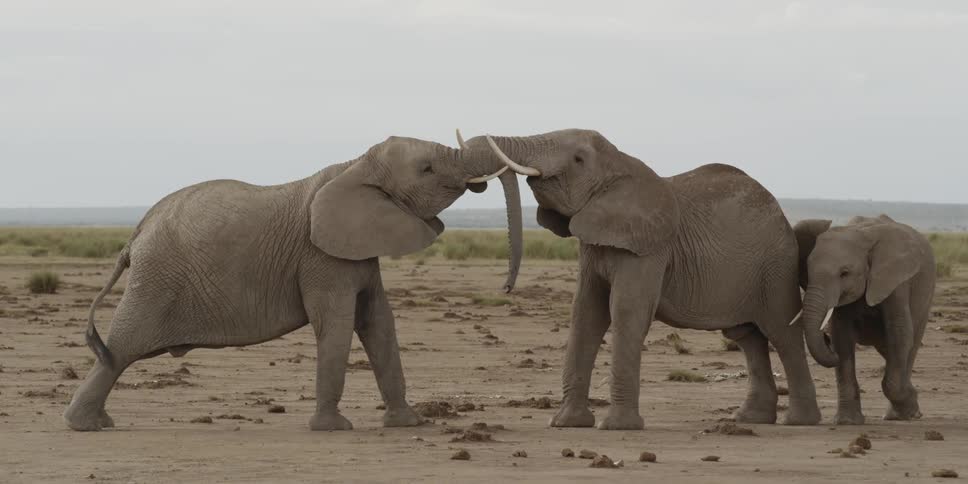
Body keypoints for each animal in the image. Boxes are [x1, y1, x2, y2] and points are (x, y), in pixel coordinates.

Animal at [64, 135, 522, 431]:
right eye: (426, 168)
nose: (505, 288)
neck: (355, 165)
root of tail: (136, 234)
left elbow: (378, 323)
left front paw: (408, 424)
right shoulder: (320, 257)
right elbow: (337, 325)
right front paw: (333, 428)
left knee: (119, 352)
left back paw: (97, 423)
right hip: (156, 279)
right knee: (122, 348)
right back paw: (85, 426)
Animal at [469, 128, 821, 429]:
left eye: (578, 160)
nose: (506, 287)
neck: (620, 163)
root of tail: (780, 212)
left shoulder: (648, 249)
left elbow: (627, 311)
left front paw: (617, 427)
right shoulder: (594, 244)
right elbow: (586, 313)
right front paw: (566, 423)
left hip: (776, 266)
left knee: (782, 333)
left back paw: (799, 422)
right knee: (748, 337)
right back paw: (752, 419)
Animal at [793, 215, 935, 424]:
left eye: (844, 273)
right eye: (807, 270)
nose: (825, 339)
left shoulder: (896, 282)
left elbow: (899, 332)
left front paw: (909, 409)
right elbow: (841, 337)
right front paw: (847, 422)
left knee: (909, 346)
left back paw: (903, 414)